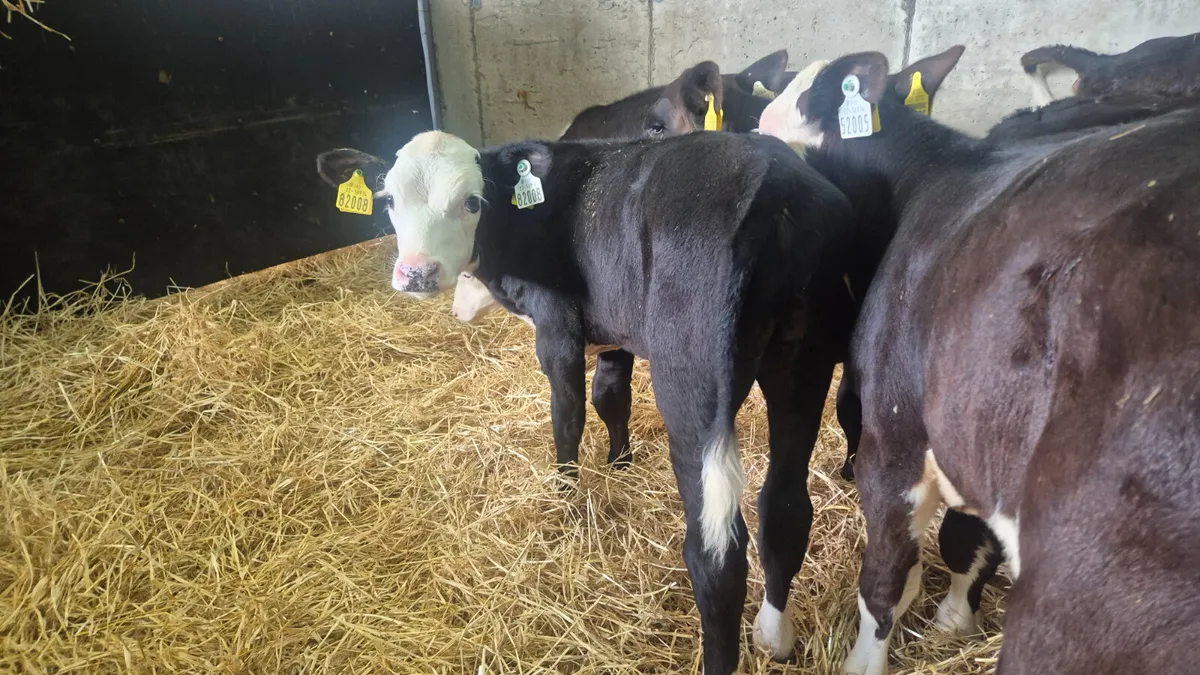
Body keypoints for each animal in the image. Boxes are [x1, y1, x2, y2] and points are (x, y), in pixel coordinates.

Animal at [317, 129, 859, 673]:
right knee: (785, 508)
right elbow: (610, 397)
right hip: (803, 365)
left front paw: (564, 492)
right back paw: (774, 635)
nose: (416, 273)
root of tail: (775, 183)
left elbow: (568, 413)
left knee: (717, 555)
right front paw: (619, 462)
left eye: (472, 201)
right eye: (389, 200)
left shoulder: (556, 326)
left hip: (695, 385)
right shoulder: (614, 329)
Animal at [758, 47, 1200, 675]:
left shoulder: (895, 433)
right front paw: (954, 619)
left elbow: (886, 577)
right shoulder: (976, 425)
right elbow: (967, 539)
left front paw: (865, 661)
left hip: (1095, 591)